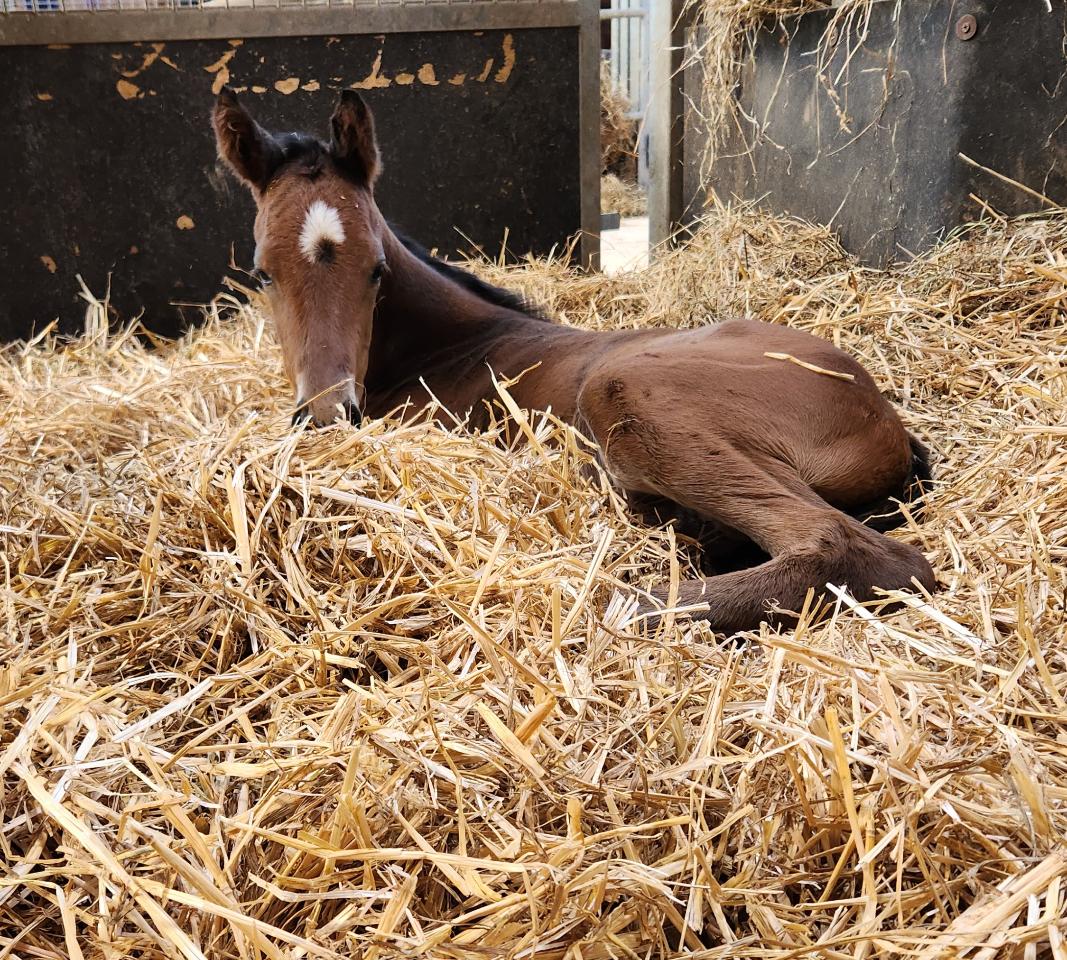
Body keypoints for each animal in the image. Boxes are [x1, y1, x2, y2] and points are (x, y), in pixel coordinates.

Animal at [214, 88, 934, 631]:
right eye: (263, 273)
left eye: (376, 270)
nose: (327, 413)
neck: (444, 347)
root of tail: (880, 416)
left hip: (625, 392)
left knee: (856, 549)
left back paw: (614, 603)